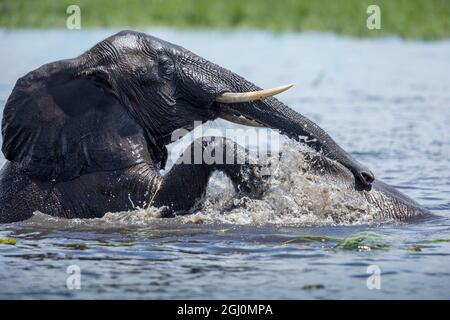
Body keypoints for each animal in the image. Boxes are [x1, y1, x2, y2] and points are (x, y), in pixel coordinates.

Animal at [0, 31, 426, 224]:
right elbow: (164, 197)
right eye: (164, 68)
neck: (80, 65)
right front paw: (258, 180)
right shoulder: (98, 187)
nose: (365, 177)